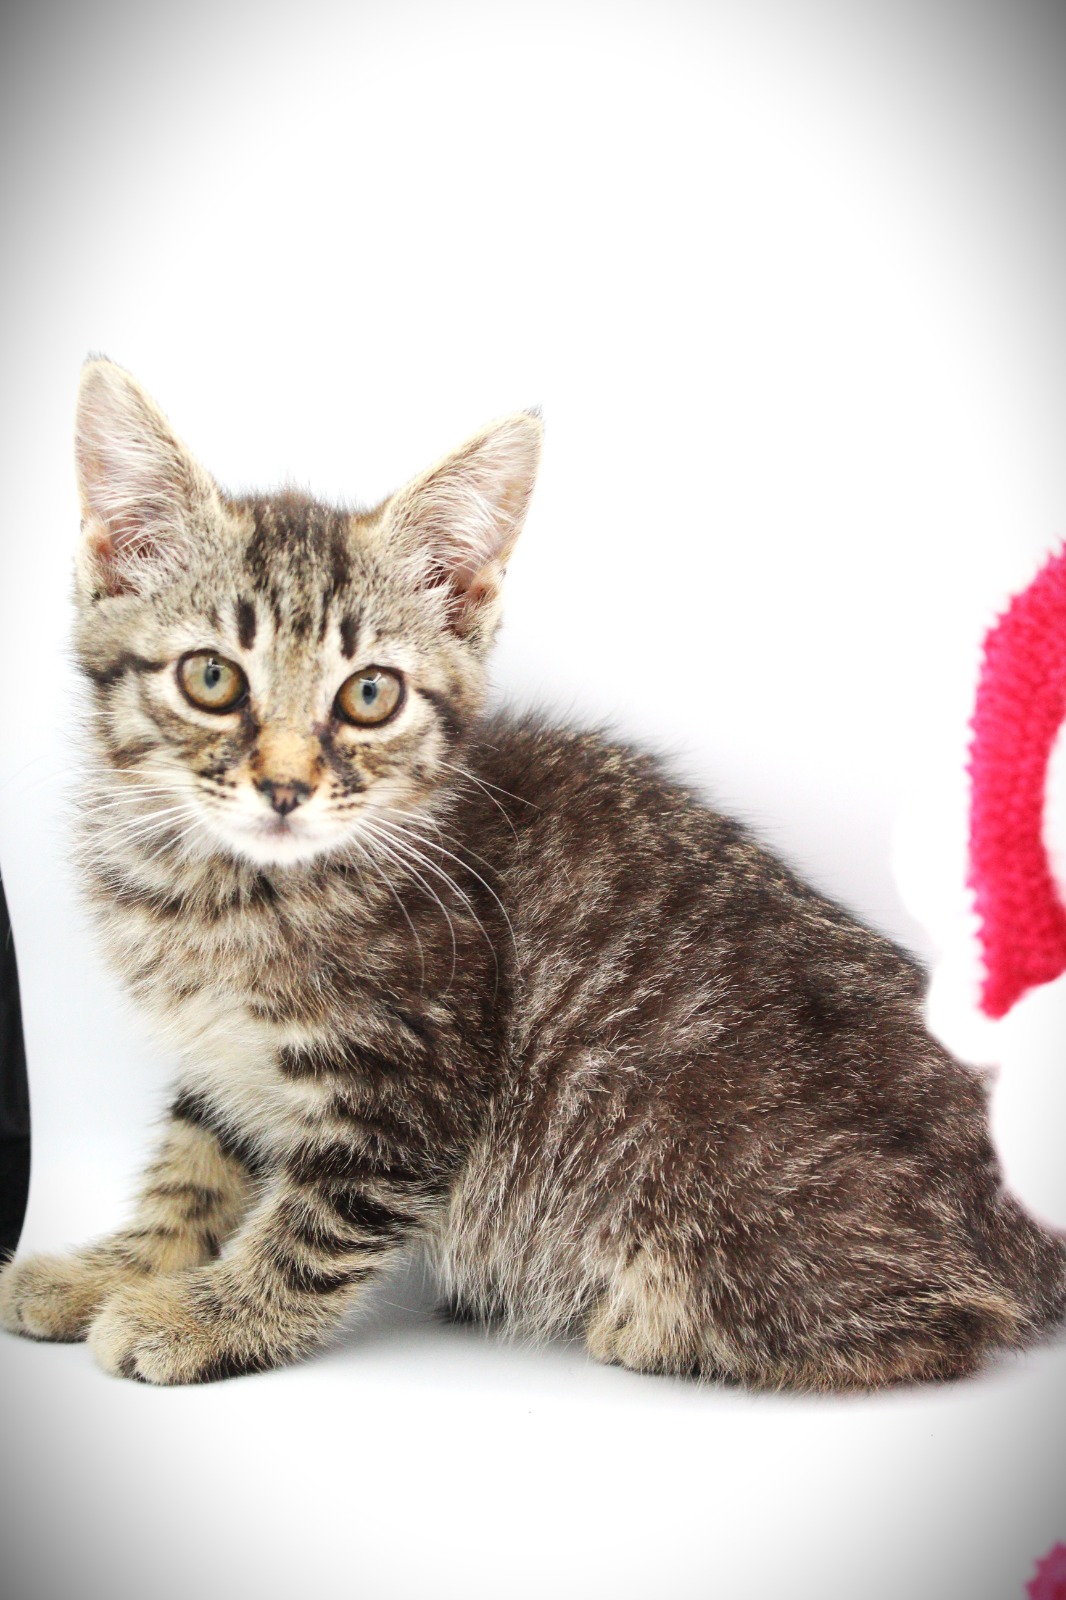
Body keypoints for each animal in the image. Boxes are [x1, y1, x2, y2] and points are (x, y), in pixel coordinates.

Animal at [1, 357, 1063, 1389]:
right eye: (212, 678)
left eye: (370, 694)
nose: (286, 788)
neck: (222, 888)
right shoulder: (224, 1061)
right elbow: (199, 1161)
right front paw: (117, 1267)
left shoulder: (408, 1083)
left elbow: (313, 1230)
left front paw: (205, 1314)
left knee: (950, 1319)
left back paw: (652, 1324)